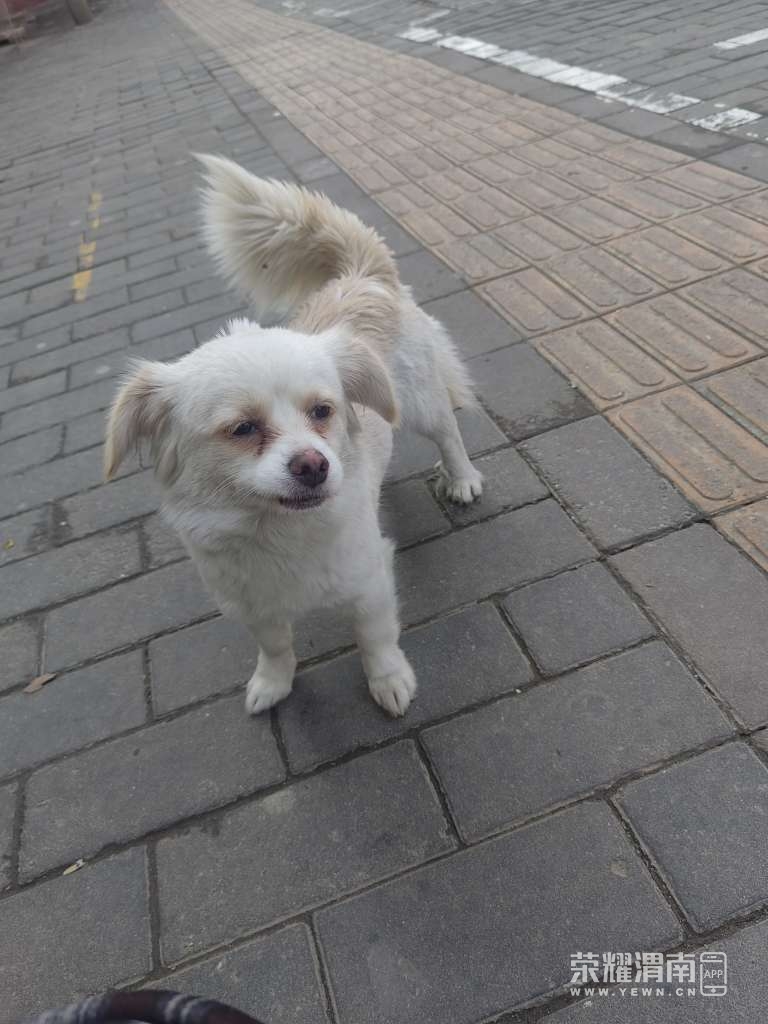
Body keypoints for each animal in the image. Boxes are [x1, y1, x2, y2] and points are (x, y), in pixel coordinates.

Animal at [104, 155, 483, 718]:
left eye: (322, 411)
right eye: (242, 429)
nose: (314, 464)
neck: (274, 530)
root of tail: (361, 277)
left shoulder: (369, 581)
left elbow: (375, 639)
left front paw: (389, 682)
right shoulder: (251, 604)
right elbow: (276, 646)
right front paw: (273, 683)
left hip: (422, 404)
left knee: (450, 434)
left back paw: (461, 479)